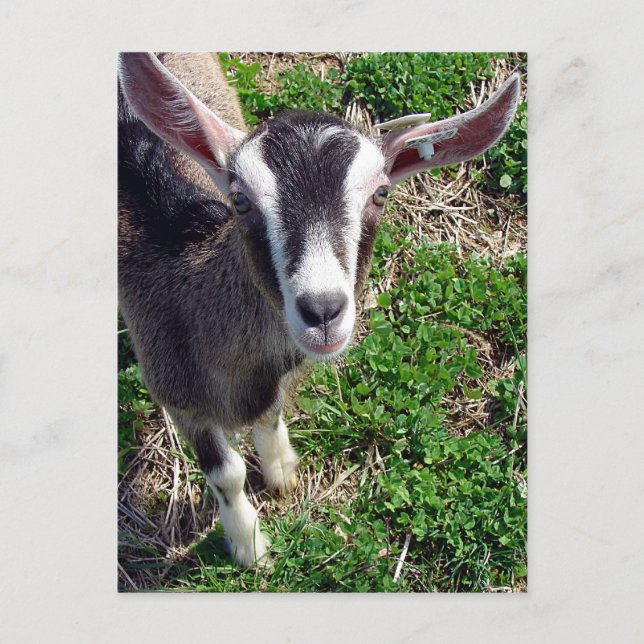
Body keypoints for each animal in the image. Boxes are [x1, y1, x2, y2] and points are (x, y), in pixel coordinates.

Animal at [118, 52, 520, 566]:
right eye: (240, 199)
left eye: (381, 194)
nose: (323, 310)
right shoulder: (178, 396)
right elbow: (226, 473)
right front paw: (250, 546)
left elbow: (271, 416)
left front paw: (281, 469)